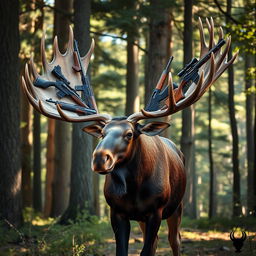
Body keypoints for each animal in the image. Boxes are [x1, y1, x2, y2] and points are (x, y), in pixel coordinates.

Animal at [22, 18, 238, 256]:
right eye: (102, 133)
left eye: (129, 134)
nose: (100, 158)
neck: (134, 187)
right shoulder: (116, 212)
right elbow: (125, 250)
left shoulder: (156, 210)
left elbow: (147, 249)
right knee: (155, 242)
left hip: (177, 206)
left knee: (175, 240)